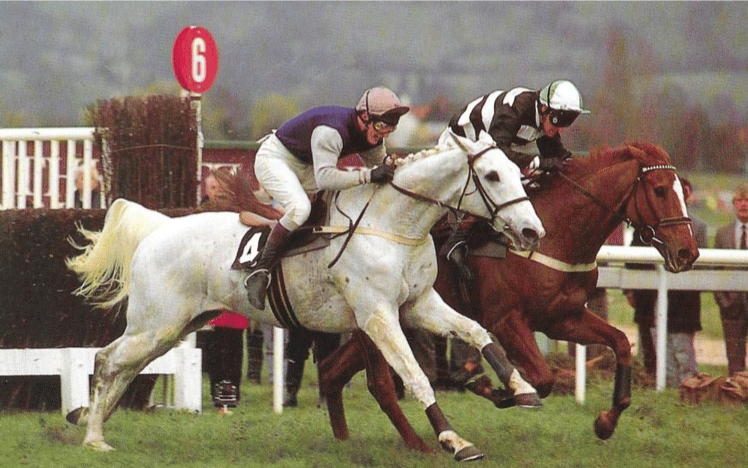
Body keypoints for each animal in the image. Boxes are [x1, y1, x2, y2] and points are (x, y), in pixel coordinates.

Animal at [65, 134, 544, 460]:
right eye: (492, 175)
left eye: (518, 172)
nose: (531, 231)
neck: (392, 225)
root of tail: (159, 227)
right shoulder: (378, 316)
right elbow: (414, 375)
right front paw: (454, 440)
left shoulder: (419, 305)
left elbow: (478, 332)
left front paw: (521, 388)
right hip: (156, 324)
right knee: (108, 361)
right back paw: (93, 437)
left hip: (172, 327)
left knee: (123, 365)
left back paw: (92, 421)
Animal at [318, 141, 700, 452]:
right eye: (660, 190)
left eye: (684, 190)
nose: (688, 253)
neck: (556, 234)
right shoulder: (506, 320)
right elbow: (543, 378)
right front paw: (491, 388)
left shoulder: (562, 318)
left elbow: (620, 342)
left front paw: (605, 422)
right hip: (378, 316)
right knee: (368, 379)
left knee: (330, 369)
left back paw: (343, 440)